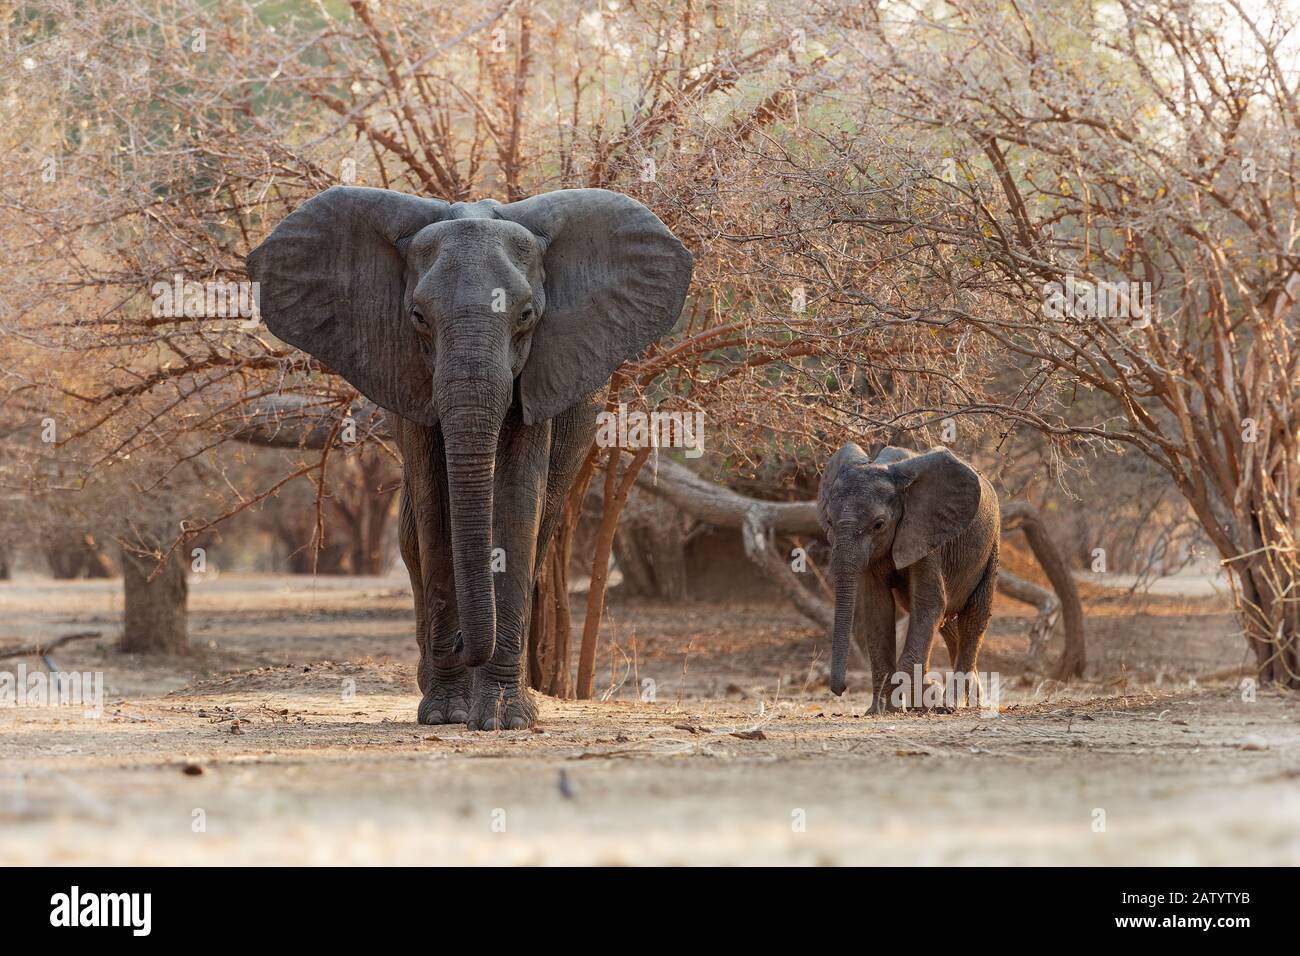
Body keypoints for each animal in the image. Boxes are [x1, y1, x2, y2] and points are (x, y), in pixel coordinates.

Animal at [244, 187, 691, 728]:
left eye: (526, 316)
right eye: (418, 317)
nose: (460, 643)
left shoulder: (539, 374)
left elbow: (518, 504)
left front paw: (505, 718)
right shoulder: (410, 378)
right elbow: (436, 511)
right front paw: (444, 712)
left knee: (542, 528)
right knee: (411, 537)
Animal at [816, 442, 998, 712]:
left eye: (879, 525)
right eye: (828, 520)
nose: (841, 689)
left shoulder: (926, 532)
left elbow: (929, 603)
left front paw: (917, 703)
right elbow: (878, 608)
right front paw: (880, 710)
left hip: (991, 544)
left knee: (972, 618)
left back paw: (955, 703)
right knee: (947, 623)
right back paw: (968, 698)